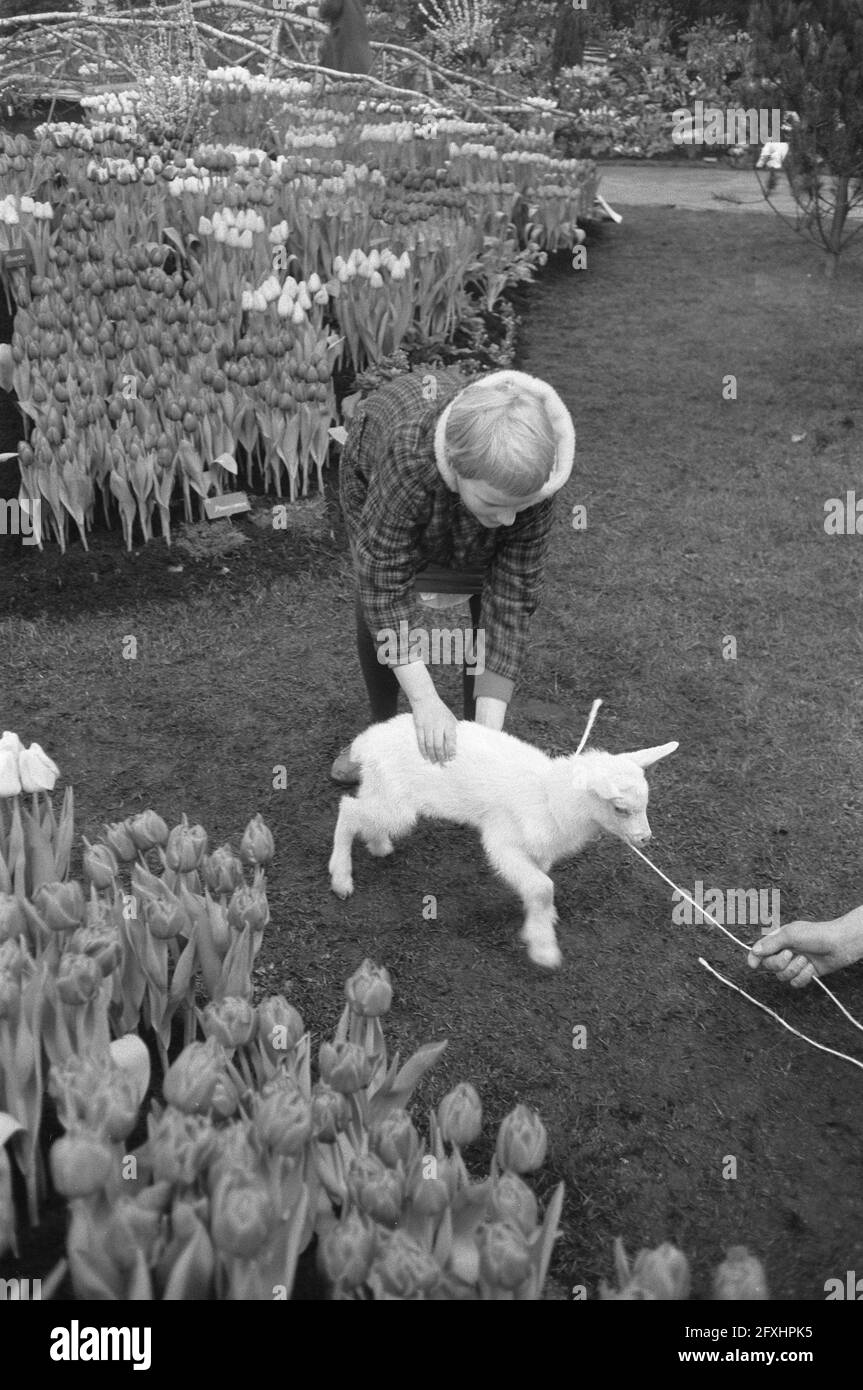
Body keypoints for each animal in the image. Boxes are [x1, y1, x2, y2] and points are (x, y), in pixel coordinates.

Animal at [326, 717, 675, 967]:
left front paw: (542, 921)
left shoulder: (538, 850)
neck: (550, 797)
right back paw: (341, 877)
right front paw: (544, 949)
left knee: (363, 809)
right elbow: (542, 887)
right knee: (348, 809)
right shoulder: (502, 840)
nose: (645, 838)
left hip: (382, 787)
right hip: (397, 804)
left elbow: (539, 883)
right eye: (620, 808)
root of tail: (369, 741)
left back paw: (378, 845)